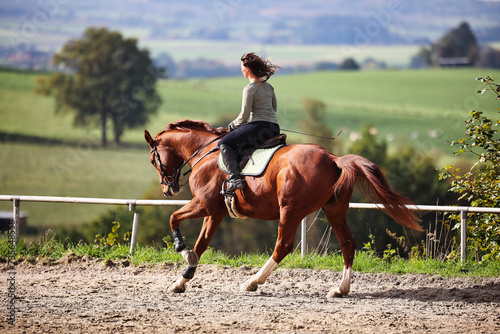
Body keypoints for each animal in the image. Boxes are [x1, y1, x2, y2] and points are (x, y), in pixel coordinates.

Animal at [146, 120, 422, 298]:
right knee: (347, 243)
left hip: (290, 210)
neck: (206, 152)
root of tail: (333, 158)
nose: (168, 190)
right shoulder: (216, 212)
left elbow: (173, 218)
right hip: (334, 210)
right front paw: (182, 279)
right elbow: (201, 244)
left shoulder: (203, 204)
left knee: (283, 246)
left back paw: (253, 282)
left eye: (152, 159)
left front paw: (183, 251)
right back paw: (340, 289)